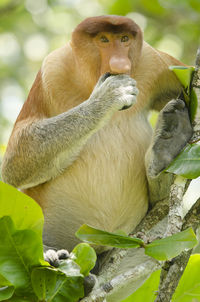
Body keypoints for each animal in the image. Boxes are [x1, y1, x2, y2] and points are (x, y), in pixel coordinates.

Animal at [1, 16, 192, 264]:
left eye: (124, 39)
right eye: (103, 39)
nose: (120, 64)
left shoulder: (155, 62)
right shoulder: (52, 70)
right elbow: (15, 160)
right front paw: (109, 95)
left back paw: (168, 143)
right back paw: (52, 253)